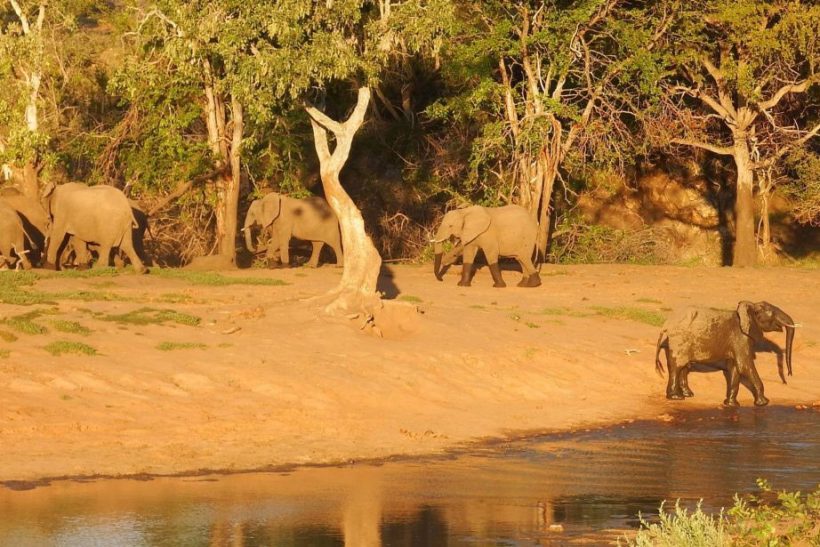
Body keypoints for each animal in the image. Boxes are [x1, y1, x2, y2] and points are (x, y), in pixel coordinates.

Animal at [654, 301, 796, 407]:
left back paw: (688, 394)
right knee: (676, 366)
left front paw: (731, 405)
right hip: (679, 340)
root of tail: (666, 324)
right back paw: (676, 397)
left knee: (684, 366)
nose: (789, 375)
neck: (749, 308)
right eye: (771, 313)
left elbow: (735, 368)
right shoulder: (740, 338)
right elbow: (745, 366)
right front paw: (764, 403)